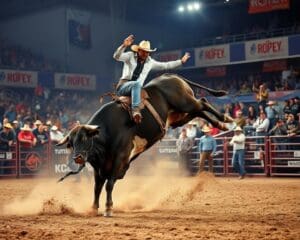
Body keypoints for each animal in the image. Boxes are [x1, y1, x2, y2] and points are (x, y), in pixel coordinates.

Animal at [56, 73, 232, 216]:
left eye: (85, 139)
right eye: (71, 143)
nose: (78, 158)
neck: (107, 129)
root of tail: (170, 76)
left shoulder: (120, 158)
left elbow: (109, 184)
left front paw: (108, 208)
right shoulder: (100, 166)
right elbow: (97, 186)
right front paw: (93, 208)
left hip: (185, 103)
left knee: (202, 102)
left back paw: (225, 119)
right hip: (178, 116)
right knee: (199, 110)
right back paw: (221, 123)